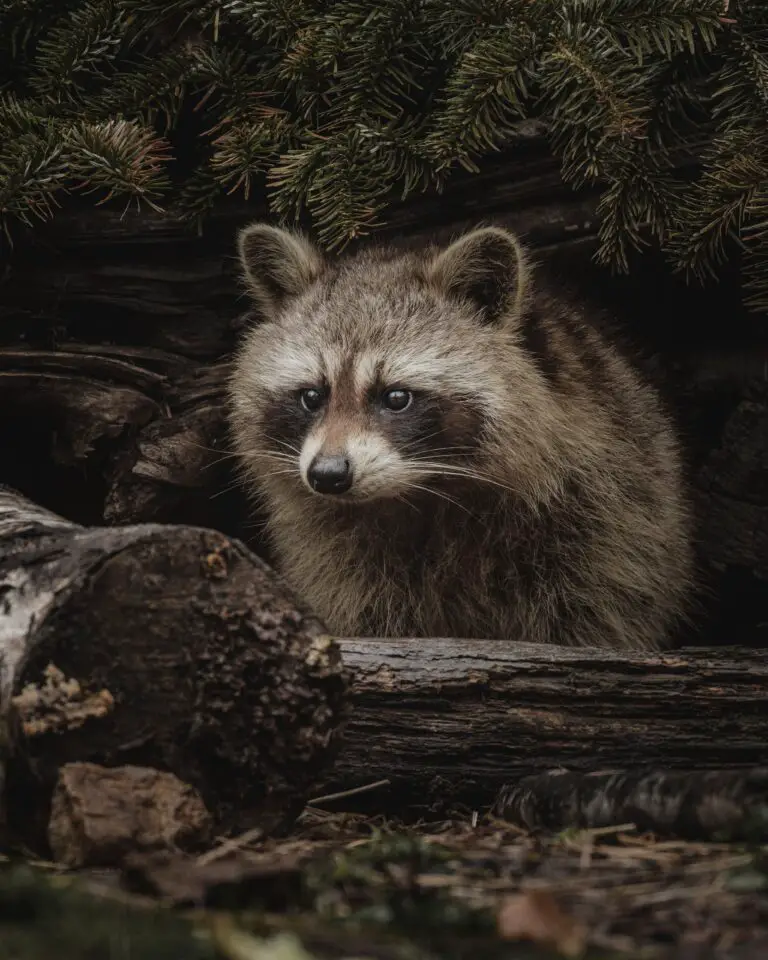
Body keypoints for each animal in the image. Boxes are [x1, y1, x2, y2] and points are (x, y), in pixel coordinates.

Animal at [228, 221, 696, 648]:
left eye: (396, 397)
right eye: (312, 396)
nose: (328, 475)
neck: (424, 492)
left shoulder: (605, 518)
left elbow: (596, 610)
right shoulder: (337, 555)